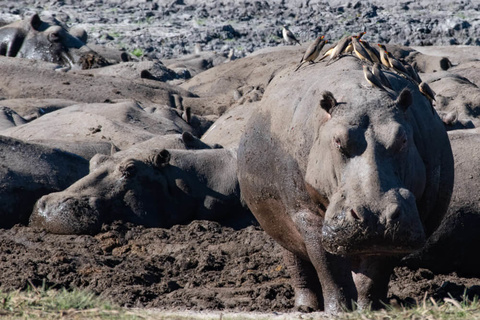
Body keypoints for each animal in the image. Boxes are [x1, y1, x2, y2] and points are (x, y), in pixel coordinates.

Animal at [237, 56, 454, 314]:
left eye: (402, 138)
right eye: (338, 140)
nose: (374, 216)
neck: (361, 96)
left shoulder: (393, 233)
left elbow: (375, 273)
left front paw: (369, 308)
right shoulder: (307, 216)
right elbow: (329, 267)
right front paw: (338, 309)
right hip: (280, 227)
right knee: (298, 266)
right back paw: (305, 307)